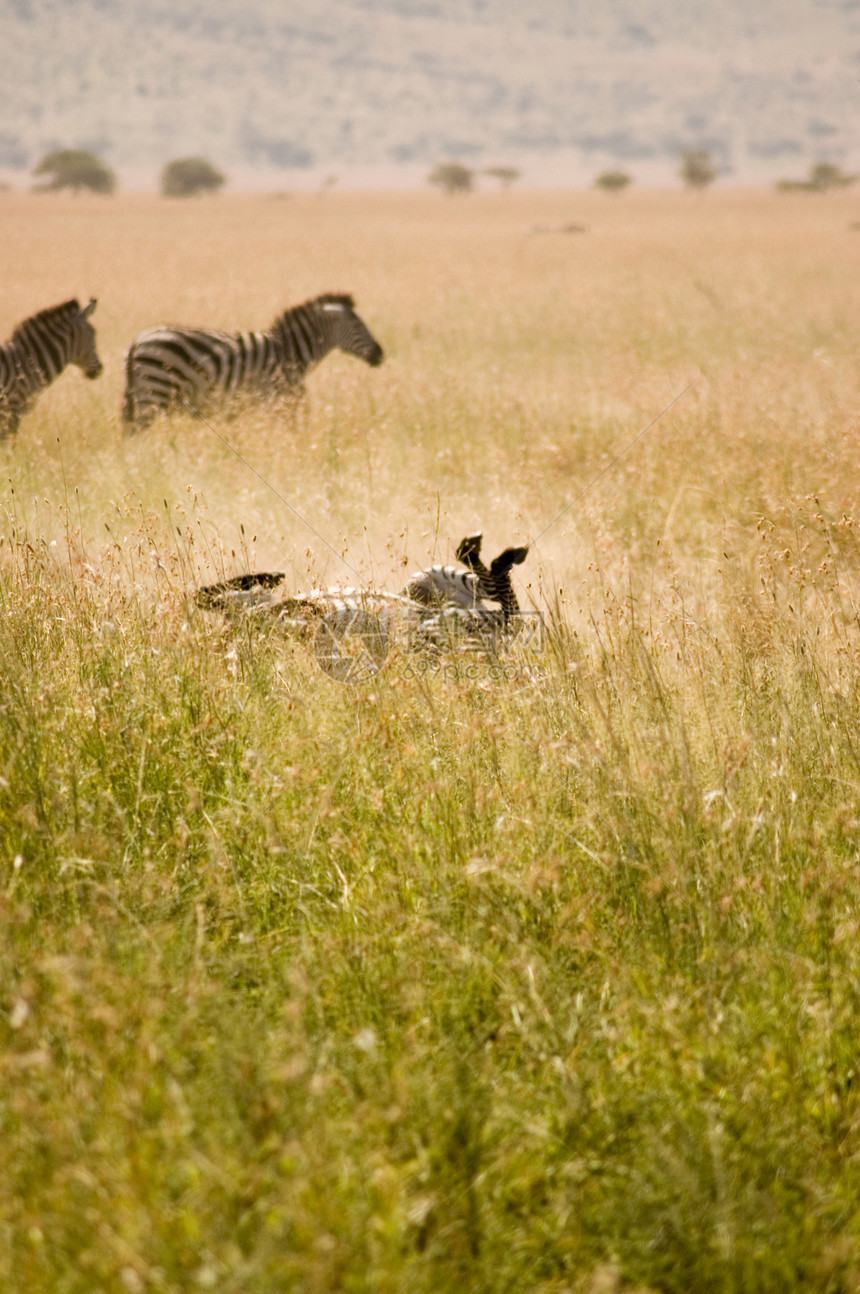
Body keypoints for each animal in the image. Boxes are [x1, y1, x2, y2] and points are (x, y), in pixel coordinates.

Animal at [122, 293, 382, 429]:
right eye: (358, 325)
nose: (380, 354)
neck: (290, 352)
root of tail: (138, 340)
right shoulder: (278, 401)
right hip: (155, 393)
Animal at [196, 533, 527, 683]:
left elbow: (206, 594)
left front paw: (268, 577)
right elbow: (205, 596)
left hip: (425, 582)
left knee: (496, 595)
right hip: (449, 613)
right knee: (505, 607)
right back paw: (501, 556)